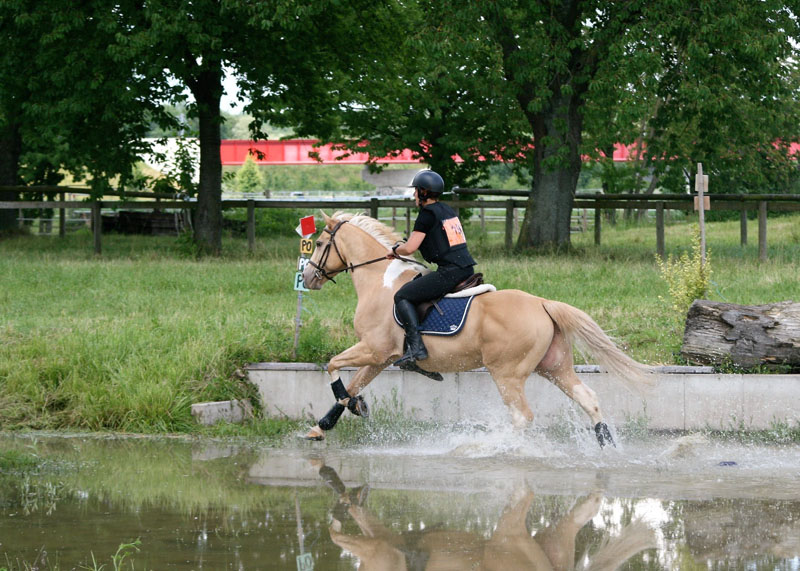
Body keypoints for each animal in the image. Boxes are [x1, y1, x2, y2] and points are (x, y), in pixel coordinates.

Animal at [300, 210, 656, 446]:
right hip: (554, 366)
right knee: (588, 399)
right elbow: (353, 385)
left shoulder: (374, 349)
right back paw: (606, 444)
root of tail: (542, 303)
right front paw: (327, 423)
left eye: (318, 243)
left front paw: (347, 409)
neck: (379, 280)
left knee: (522, 416)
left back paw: (495, 446)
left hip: (507, 373)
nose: (308, 278)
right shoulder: (381, 357)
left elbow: (332, 365)